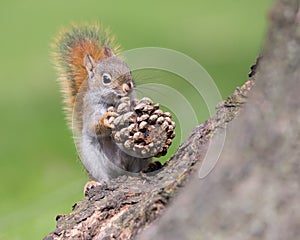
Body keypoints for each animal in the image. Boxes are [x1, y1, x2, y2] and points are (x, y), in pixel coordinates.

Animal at [52, 24, 152, 182]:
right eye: (106, 79)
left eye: (129, 70)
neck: (113, 102)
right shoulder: (91, 110)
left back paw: (145, 169)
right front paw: (105, 120)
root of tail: (120, 169)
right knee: (101, 176)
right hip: (92, 158)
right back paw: (95, 183)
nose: (128, 86)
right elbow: (93, 127)